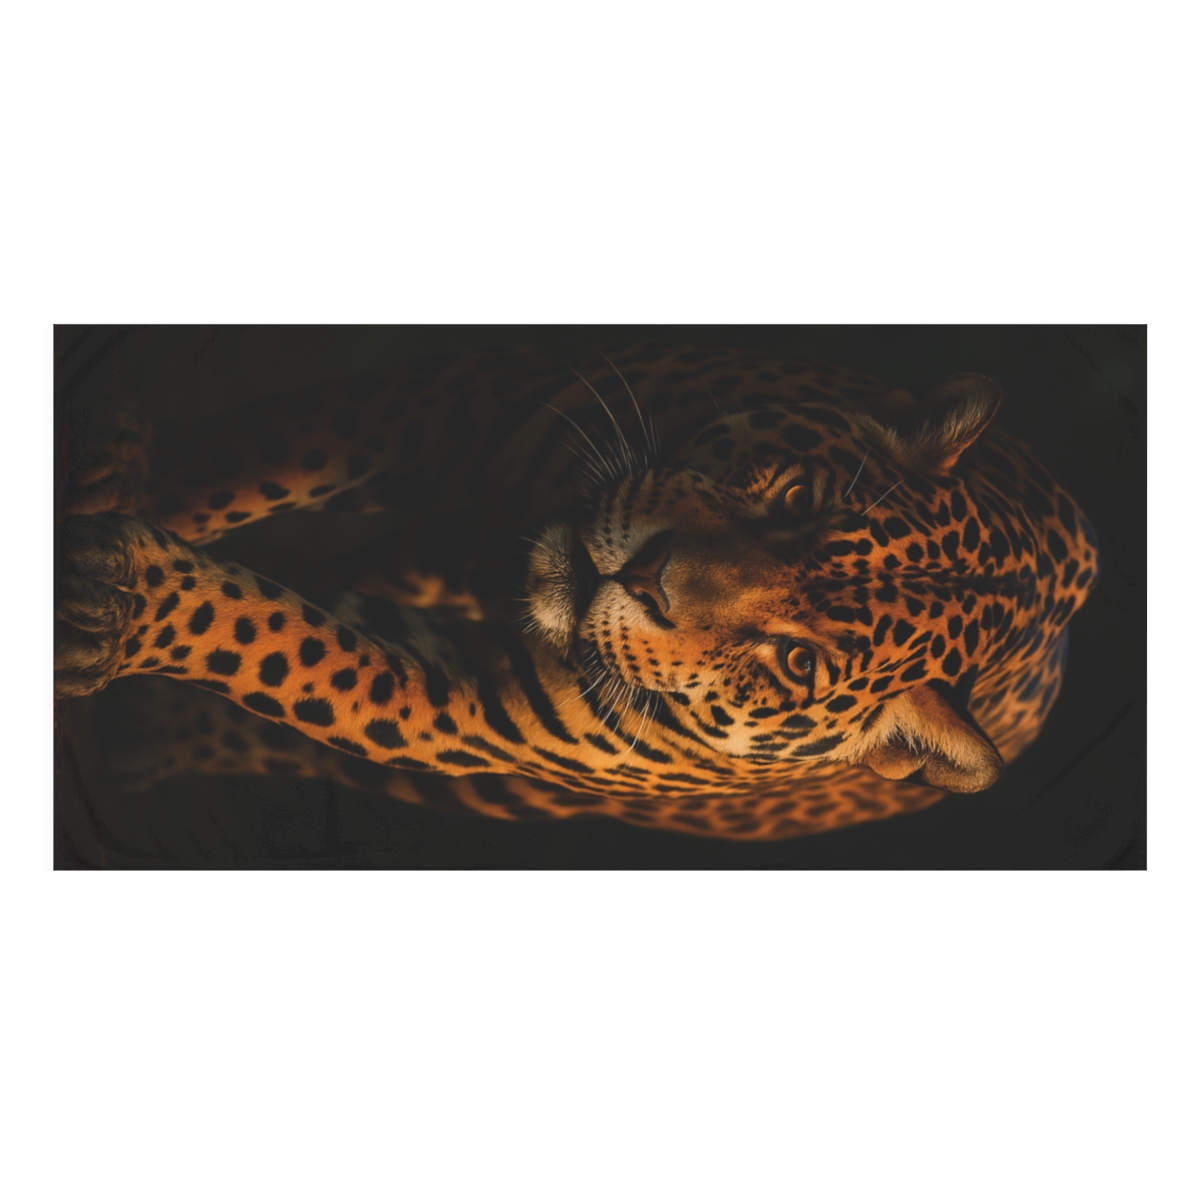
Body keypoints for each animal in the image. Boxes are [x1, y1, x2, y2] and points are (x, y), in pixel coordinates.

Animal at [55, 343, 1100, 841]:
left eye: (797, 662)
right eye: (797, 501)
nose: (645, 575)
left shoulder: (460, 710)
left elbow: (277, 649)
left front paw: (121, 606)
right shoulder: (450, 405)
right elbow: (257, 456)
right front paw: (111, 468)